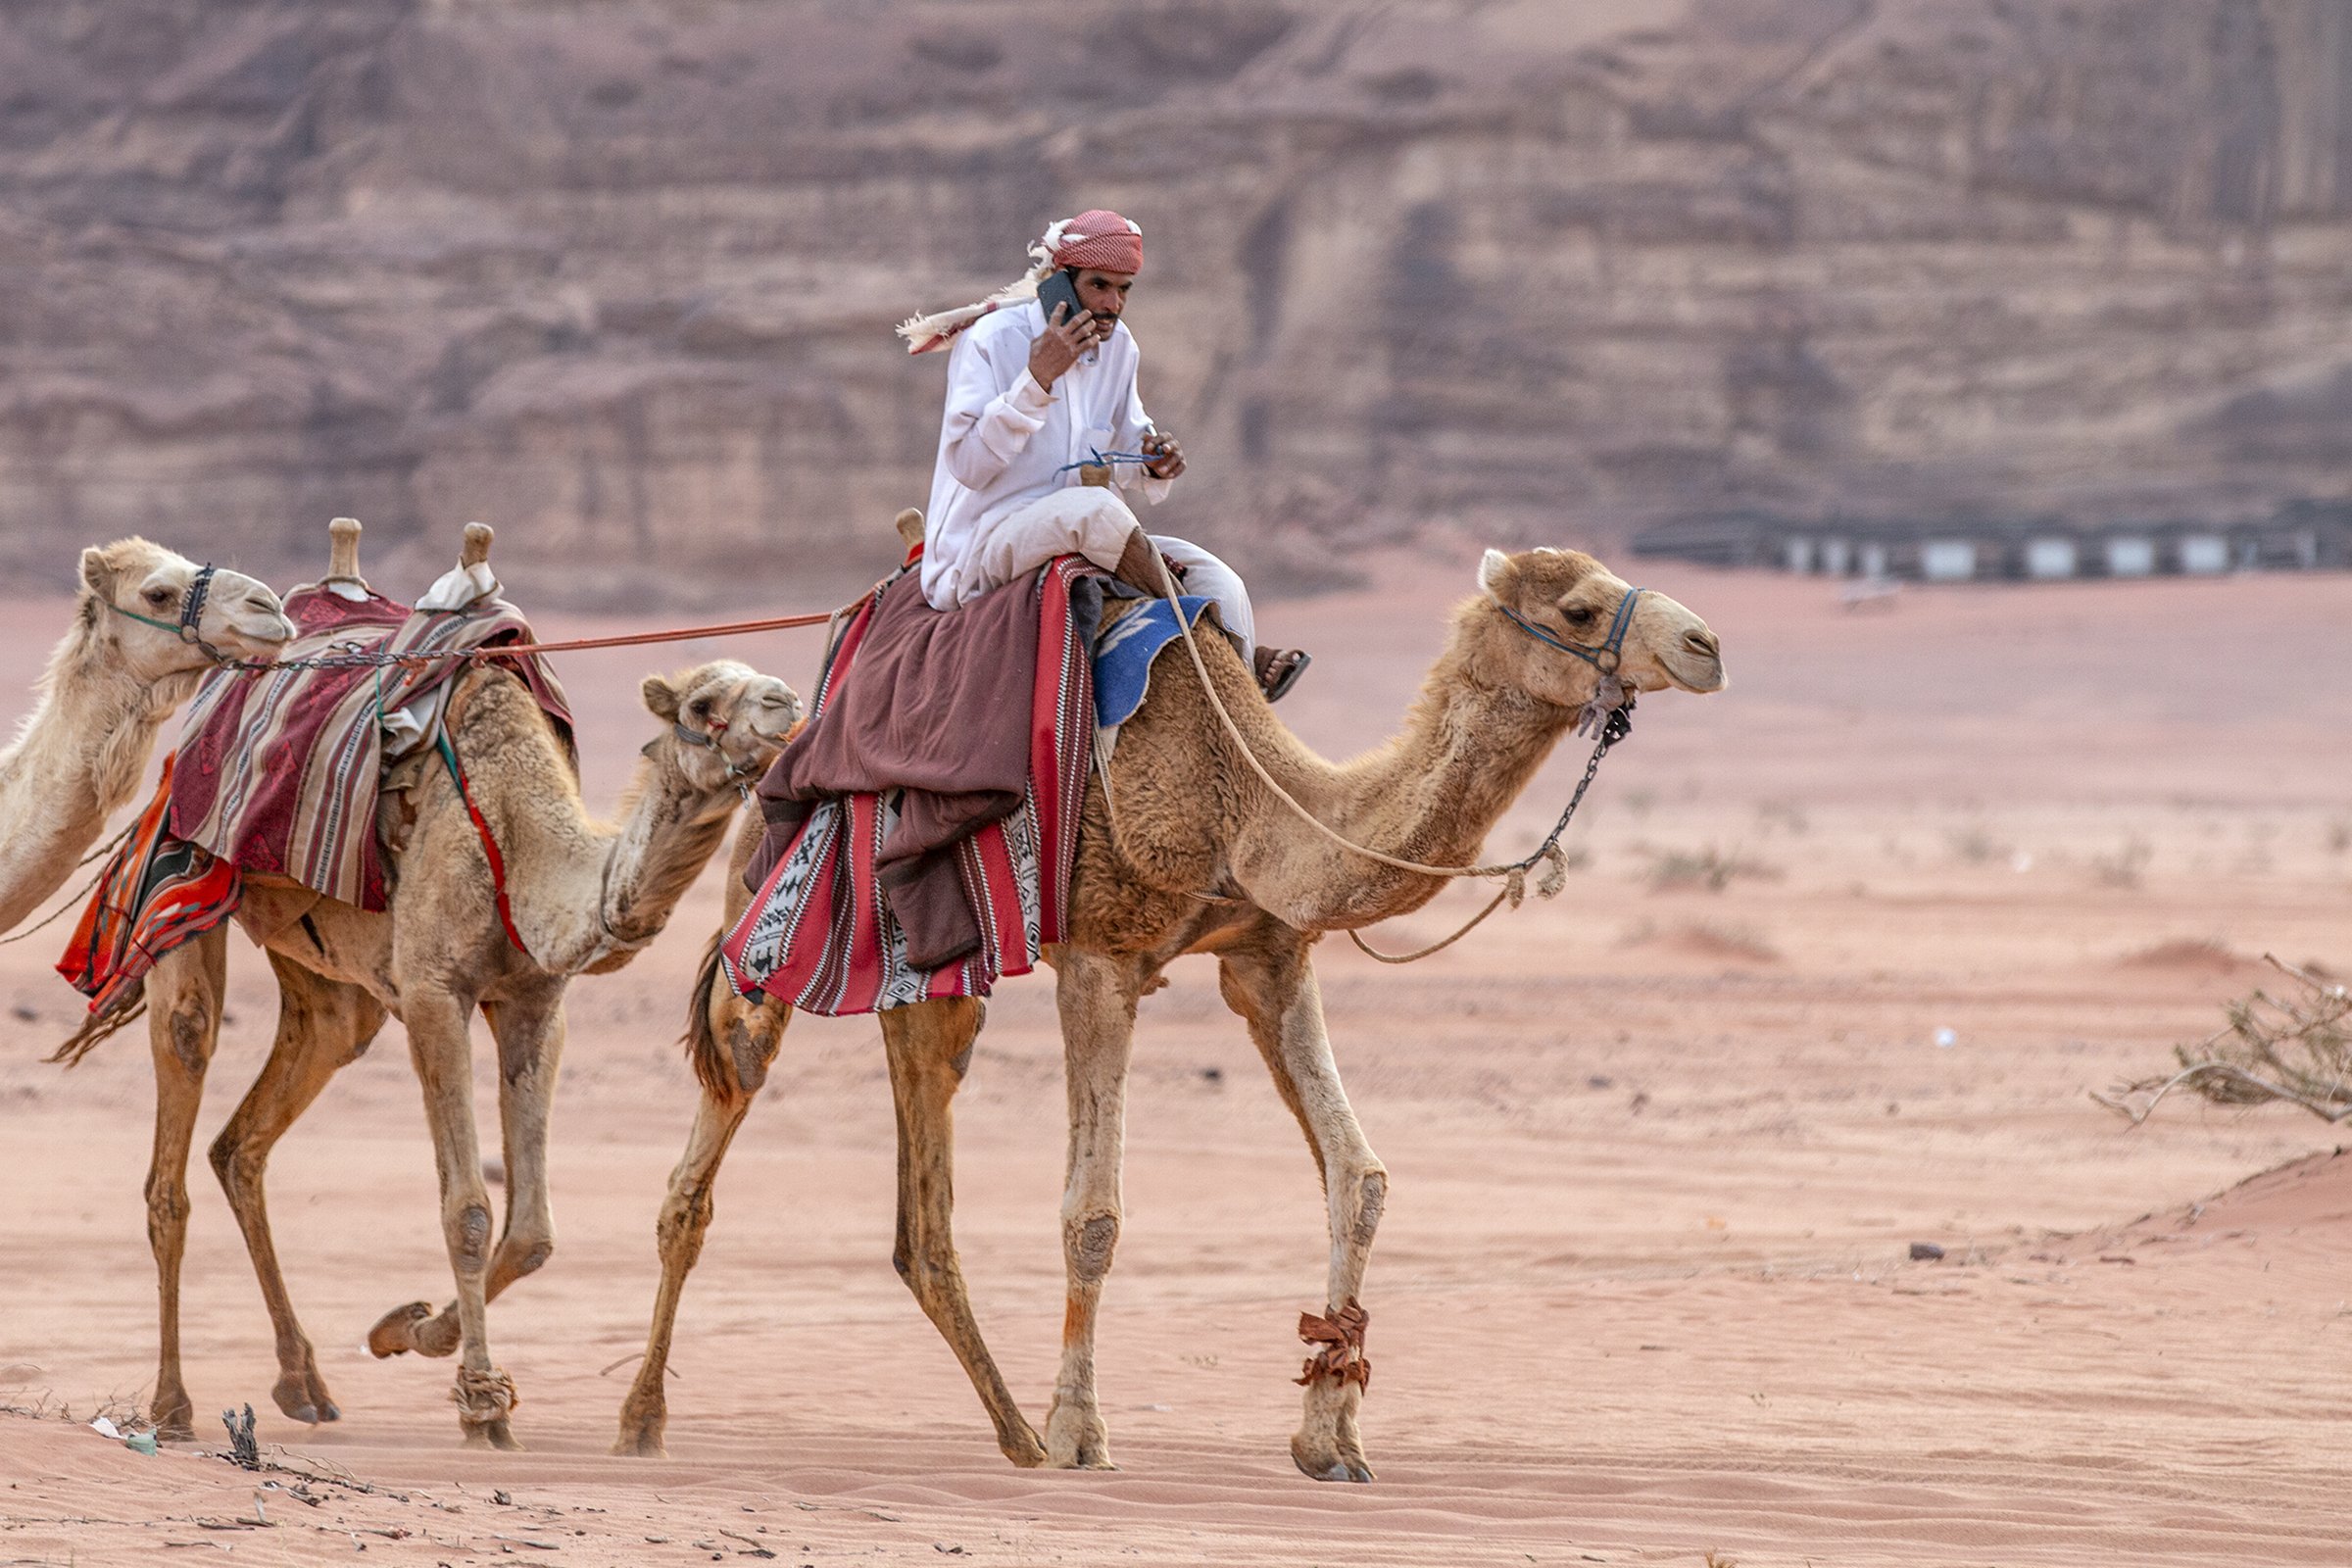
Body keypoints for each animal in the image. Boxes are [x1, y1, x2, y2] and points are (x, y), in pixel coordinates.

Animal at [57, 524, 803, 1449]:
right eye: (704, 704)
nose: (784, 700)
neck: (521, 834)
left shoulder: (534, 1004)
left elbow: (533, 1232)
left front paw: (403, 1330)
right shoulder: (432, 993)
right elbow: (470, 1213)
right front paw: (482, 1403)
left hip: (331, 987)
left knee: (245, 1140)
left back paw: (304, 1382)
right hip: (187, 890)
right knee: (178, 1120)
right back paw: (172, 1405)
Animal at [613, 539, 1726, 1481]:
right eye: (1578, 607)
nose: (1706, 646)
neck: (1251, 796)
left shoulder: (1270, 956)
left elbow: (1358, 1177)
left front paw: (1331, 1436)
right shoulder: (1103, 956)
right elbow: (1093, 1213)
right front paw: (1082, 1432)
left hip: (931, 984)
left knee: (920, 1214)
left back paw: (1010, 1435)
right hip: (772, 941)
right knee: (702, 1164)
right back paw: (642, 1421)